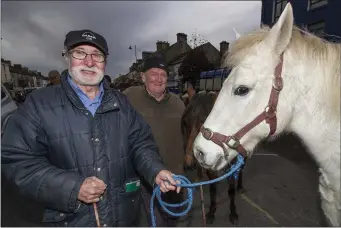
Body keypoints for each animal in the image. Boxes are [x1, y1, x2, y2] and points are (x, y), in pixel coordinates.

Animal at [181, 89, 244, 224]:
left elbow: (231, 190)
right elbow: (213, 190)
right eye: (185, 122)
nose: (189, 164)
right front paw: (211, 212)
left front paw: (233, 213)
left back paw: (240, 186)